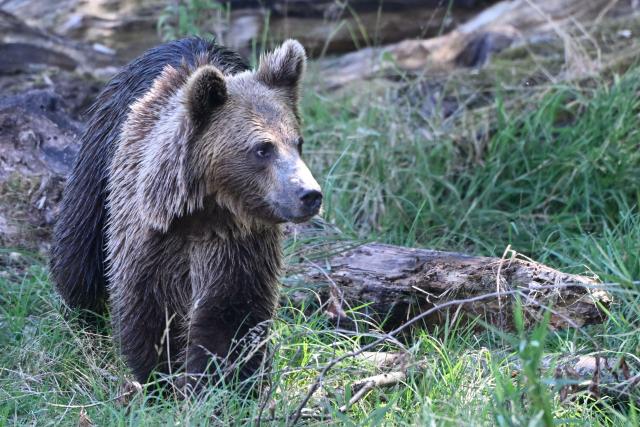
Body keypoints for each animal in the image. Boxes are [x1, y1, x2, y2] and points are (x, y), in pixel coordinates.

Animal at [50, 37, 322, 391]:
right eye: (263, 148)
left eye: (297, 142)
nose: (310, 195)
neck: (206, 212)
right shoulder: (151, 238)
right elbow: (152, 310)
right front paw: (160, 378)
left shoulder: (238, 246)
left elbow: (231, 314)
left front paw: (223, 382)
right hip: (99, 161)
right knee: (79, 250)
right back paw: (82, 317)